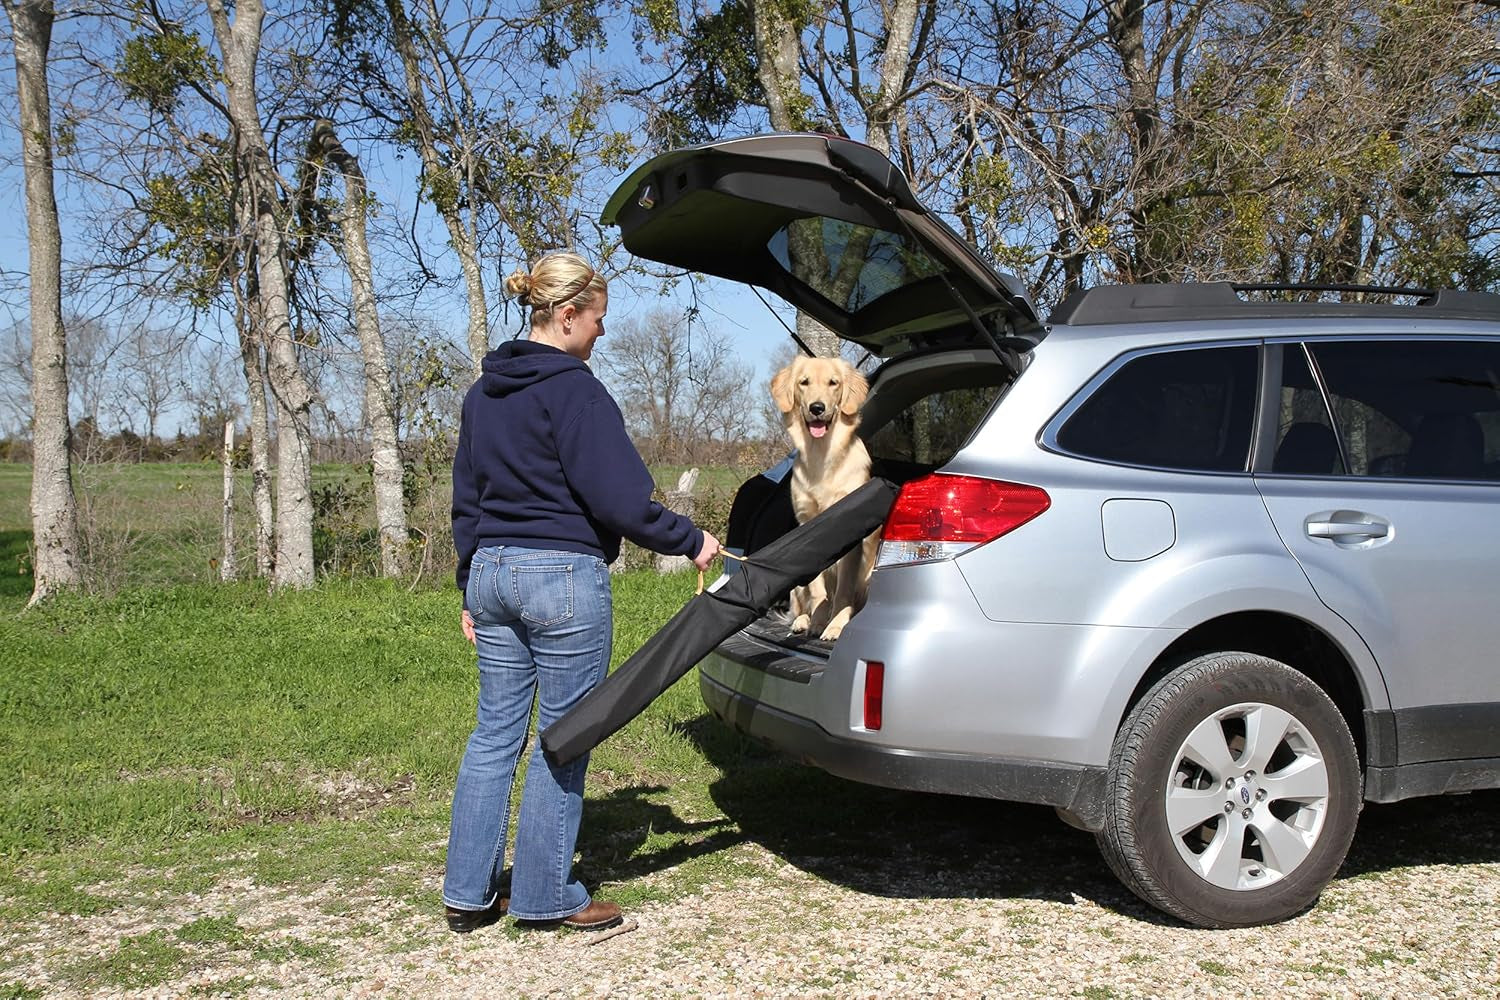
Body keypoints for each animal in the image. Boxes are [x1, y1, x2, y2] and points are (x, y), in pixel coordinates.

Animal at [774, 358, 876, 641]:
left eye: (833, 383)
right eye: (804, 382)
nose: (817, 408)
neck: (821, 455)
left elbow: (843, 590)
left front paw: (836, 625)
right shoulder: (808, 527)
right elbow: (818, 590)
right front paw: (819, 621)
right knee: (800, 604)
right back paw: (802, 621)